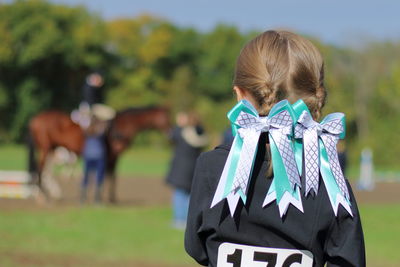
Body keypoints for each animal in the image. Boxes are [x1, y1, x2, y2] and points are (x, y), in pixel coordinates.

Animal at [28, 105, 170, 202]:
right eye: (165, 118)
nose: (169, 133)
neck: (122, 125)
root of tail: (35, 118)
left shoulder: (113, 158)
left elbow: (111, 176)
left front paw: (111, 198)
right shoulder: (113, 156)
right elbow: (109, 176)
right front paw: (108, 199)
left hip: (52, 149)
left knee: (47, 171)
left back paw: (52, 194)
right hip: (46, 149)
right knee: (40, 170)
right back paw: (43, 196)